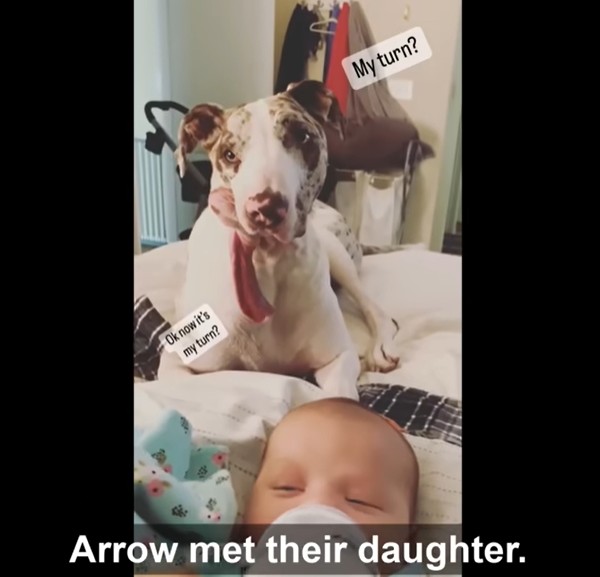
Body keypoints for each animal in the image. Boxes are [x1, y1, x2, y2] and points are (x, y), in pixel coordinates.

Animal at [158, 80, 400, 399]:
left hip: (337, 253)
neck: (266, 262)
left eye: (302, 136)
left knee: (375, 309)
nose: (265, 208)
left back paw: (382, 345)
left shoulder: (338, 358)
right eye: (229, 154)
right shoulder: (175, 366)